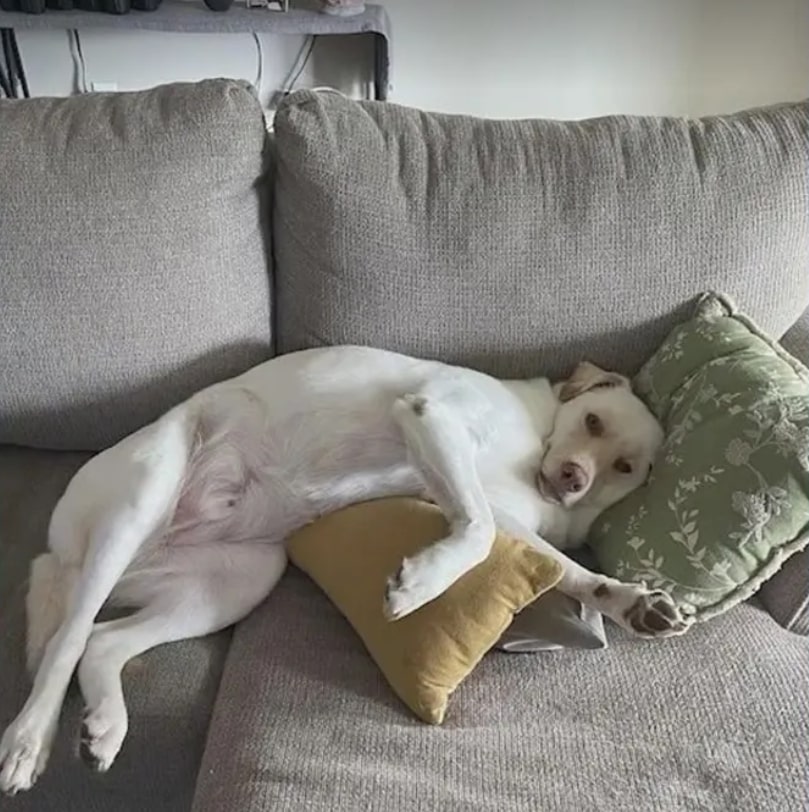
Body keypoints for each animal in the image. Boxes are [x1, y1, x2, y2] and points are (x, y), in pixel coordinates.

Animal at [1, 346, 688, 796]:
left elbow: (558, 564)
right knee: (67, 639)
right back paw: (29, 742)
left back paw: (105, 727)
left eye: (625, 467)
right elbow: (477, 531)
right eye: (593, 421)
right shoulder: (434, 418)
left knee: (101, 641)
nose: (573, 478)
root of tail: (60, 549)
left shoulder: (502, 510)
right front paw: (417, 585)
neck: (538, 437)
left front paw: (628, 600)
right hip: (142, 496)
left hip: (238, 582)